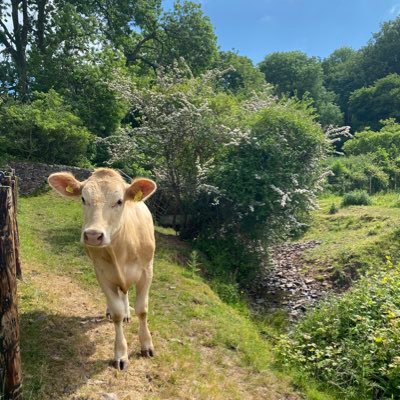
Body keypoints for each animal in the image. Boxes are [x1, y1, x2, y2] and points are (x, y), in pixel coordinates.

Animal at [47, 167, 157, 370]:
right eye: (83, 198)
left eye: (119, 201)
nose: (92, 235)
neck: (121, 250)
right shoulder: (102, 274)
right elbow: (116, 313)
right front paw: (121, 354)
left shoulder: (147, 271)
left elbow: (142, 310)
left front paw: (146, 345)